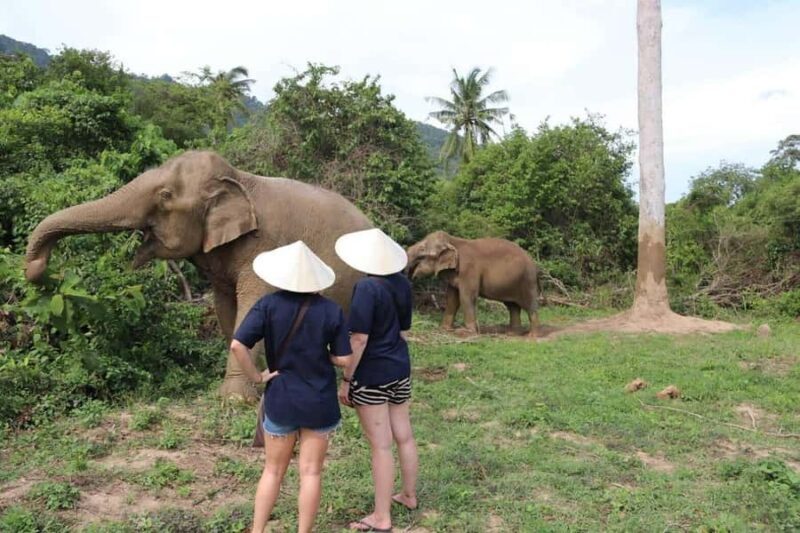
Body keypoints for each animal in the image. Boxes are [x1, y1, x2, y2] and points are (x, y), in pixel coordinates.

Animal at [25, 151, 372, 400]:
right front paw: (257, 379)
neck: (240, 180)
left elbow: (252, 304)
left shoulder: (266, 246)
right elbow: (226, 306)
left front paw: (234, 400)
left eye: (165, 195)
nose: (38, 269)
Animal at [406, 231, 541, 336]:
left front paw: (465, 333)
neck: (453, 240)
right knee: (512, 306)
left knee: (529, 305)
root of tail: (534, 263)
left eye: (422, 252)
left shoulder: (468, 270)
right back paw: (512, 333)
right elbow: (452, 299)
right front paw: (444, 329)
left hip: (527, 281)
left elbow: (466, 297)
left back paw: (532, 336)